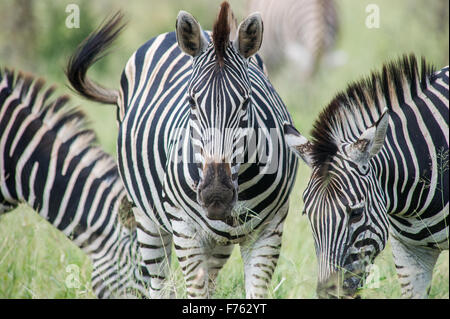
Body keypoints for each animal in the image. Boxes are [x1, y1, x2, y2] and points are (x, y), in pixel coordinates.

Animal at [67, 1, 298, 300]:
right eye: (191, 101)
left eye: (246, 102)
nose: (216, 196)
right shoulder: (184, 229)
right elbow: (195, 292)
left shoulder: (270, 231)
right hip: (147, 222)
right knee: (157, 283)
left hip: (218, 242)